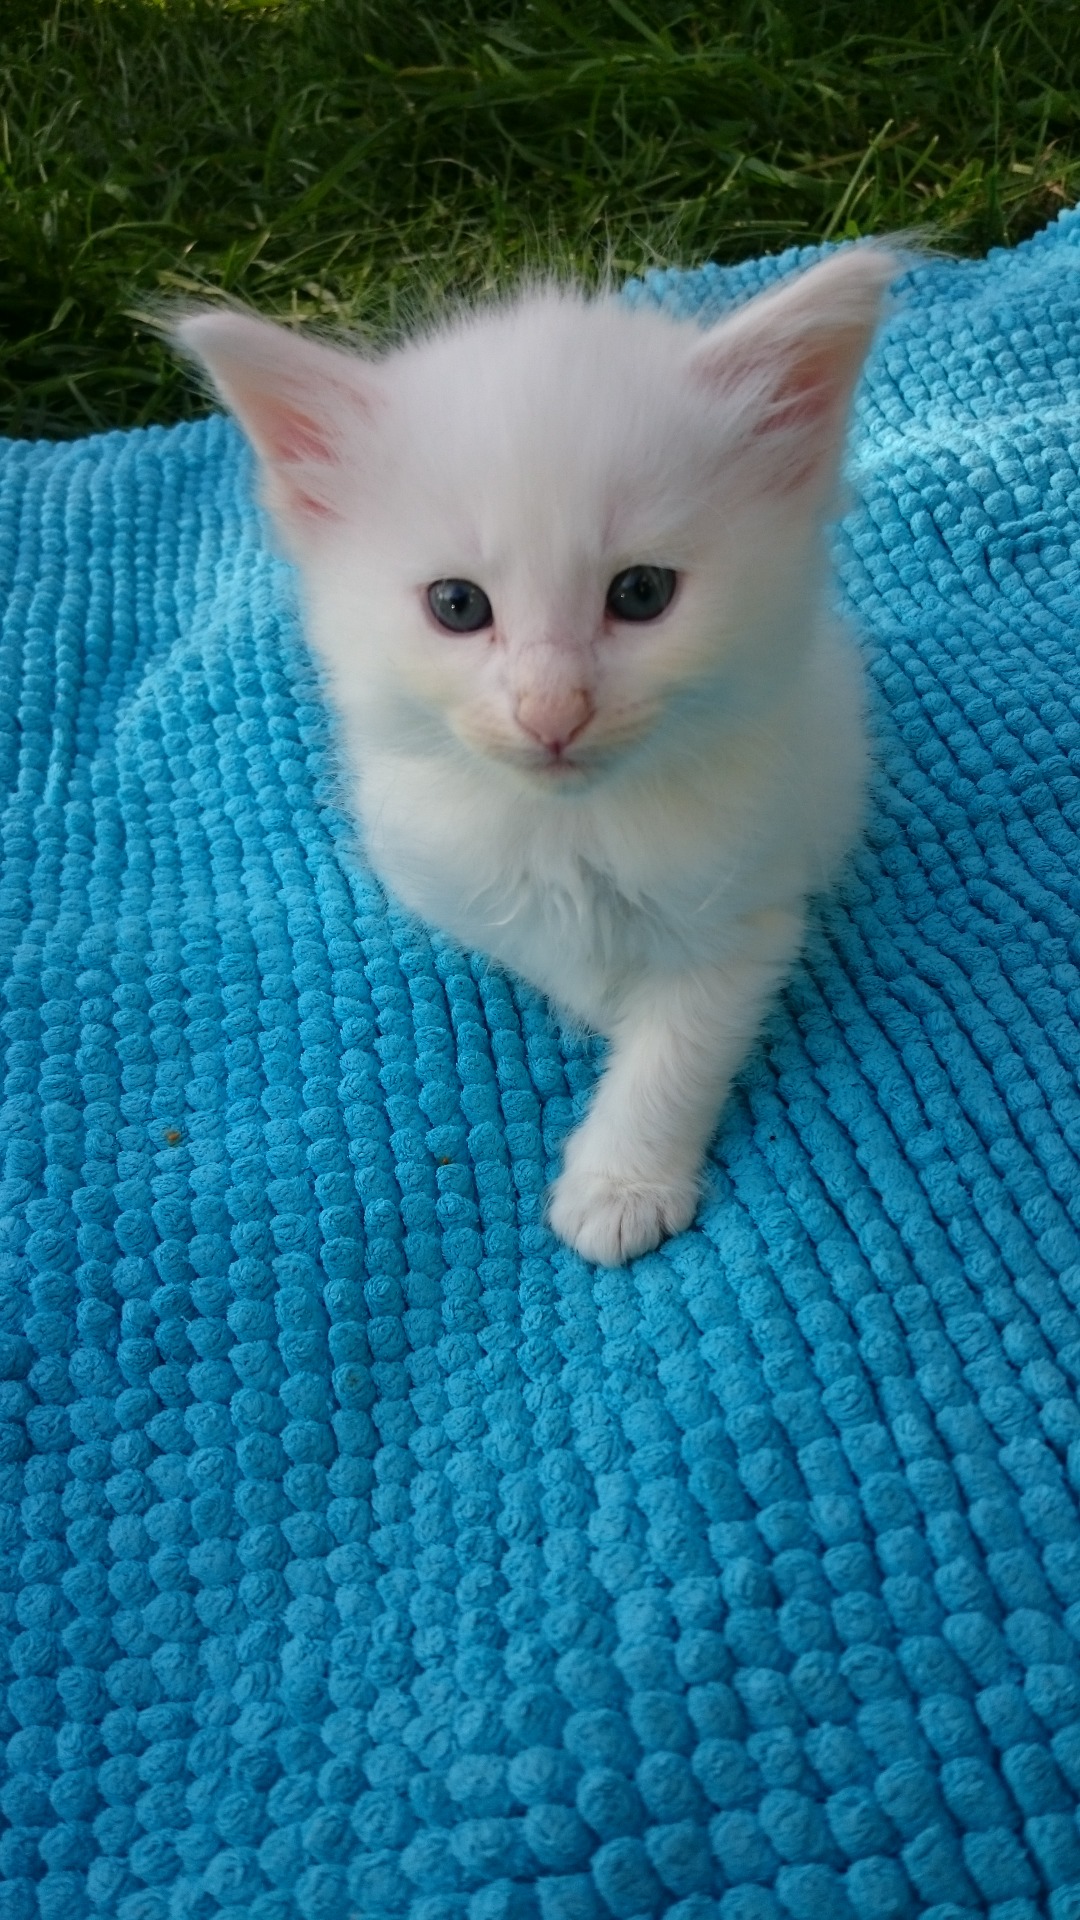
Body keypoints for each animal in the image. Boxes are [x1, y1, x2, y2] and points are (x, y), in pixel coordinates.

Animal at [175, 245, 895, 1266]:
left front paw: (621, 1182)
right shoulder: (445, 869)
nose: (552, 710)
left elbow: (675, 1047)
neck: (575, 830)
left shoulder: (749, 907)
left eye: (641, 593)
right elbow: (544, 950)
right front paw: (596, 1000)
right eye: (457, 606)